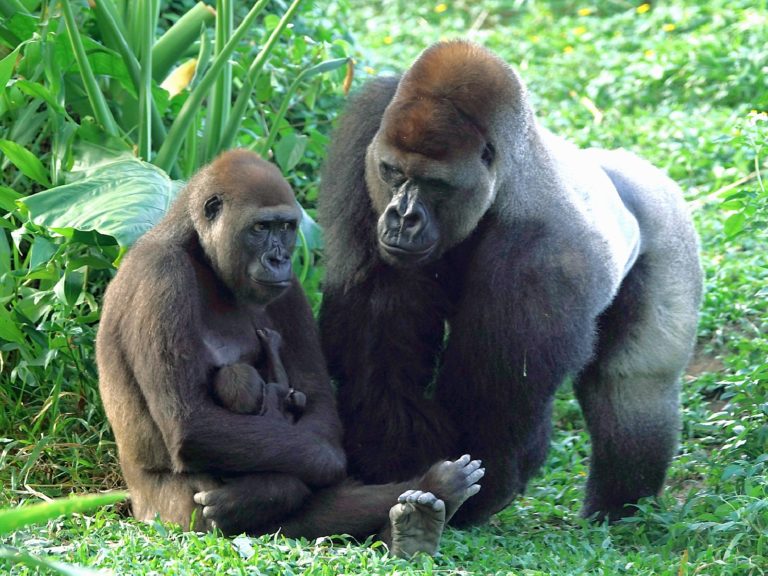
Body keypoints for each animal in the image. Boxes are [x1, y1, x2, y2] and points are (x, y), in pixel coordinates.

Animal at [94, 150, 480, 560]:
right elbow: (192, 422)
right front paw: (282, 484)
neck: (197, 251)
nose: (278, 259)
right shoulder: (162, 275)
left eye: (286, 227)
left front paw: (271, 489)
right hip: (171, 518)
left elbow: (320, 408)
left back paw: (423, 510)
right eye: (261, 228)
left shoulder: (290, 285)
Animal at [318, 40, 704, 524]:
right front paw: (393, 453)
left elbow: (493, 407)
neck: (508, 176)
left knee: (634, 384)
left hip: (671, 226)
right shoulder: (369, 125)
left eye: (434, 184)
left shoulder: (545, 257)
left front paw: (469, 497)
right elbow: (375, 329)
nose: (402, 218)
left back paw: (620, 509)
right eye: (392, 172)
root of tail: (626, 165)